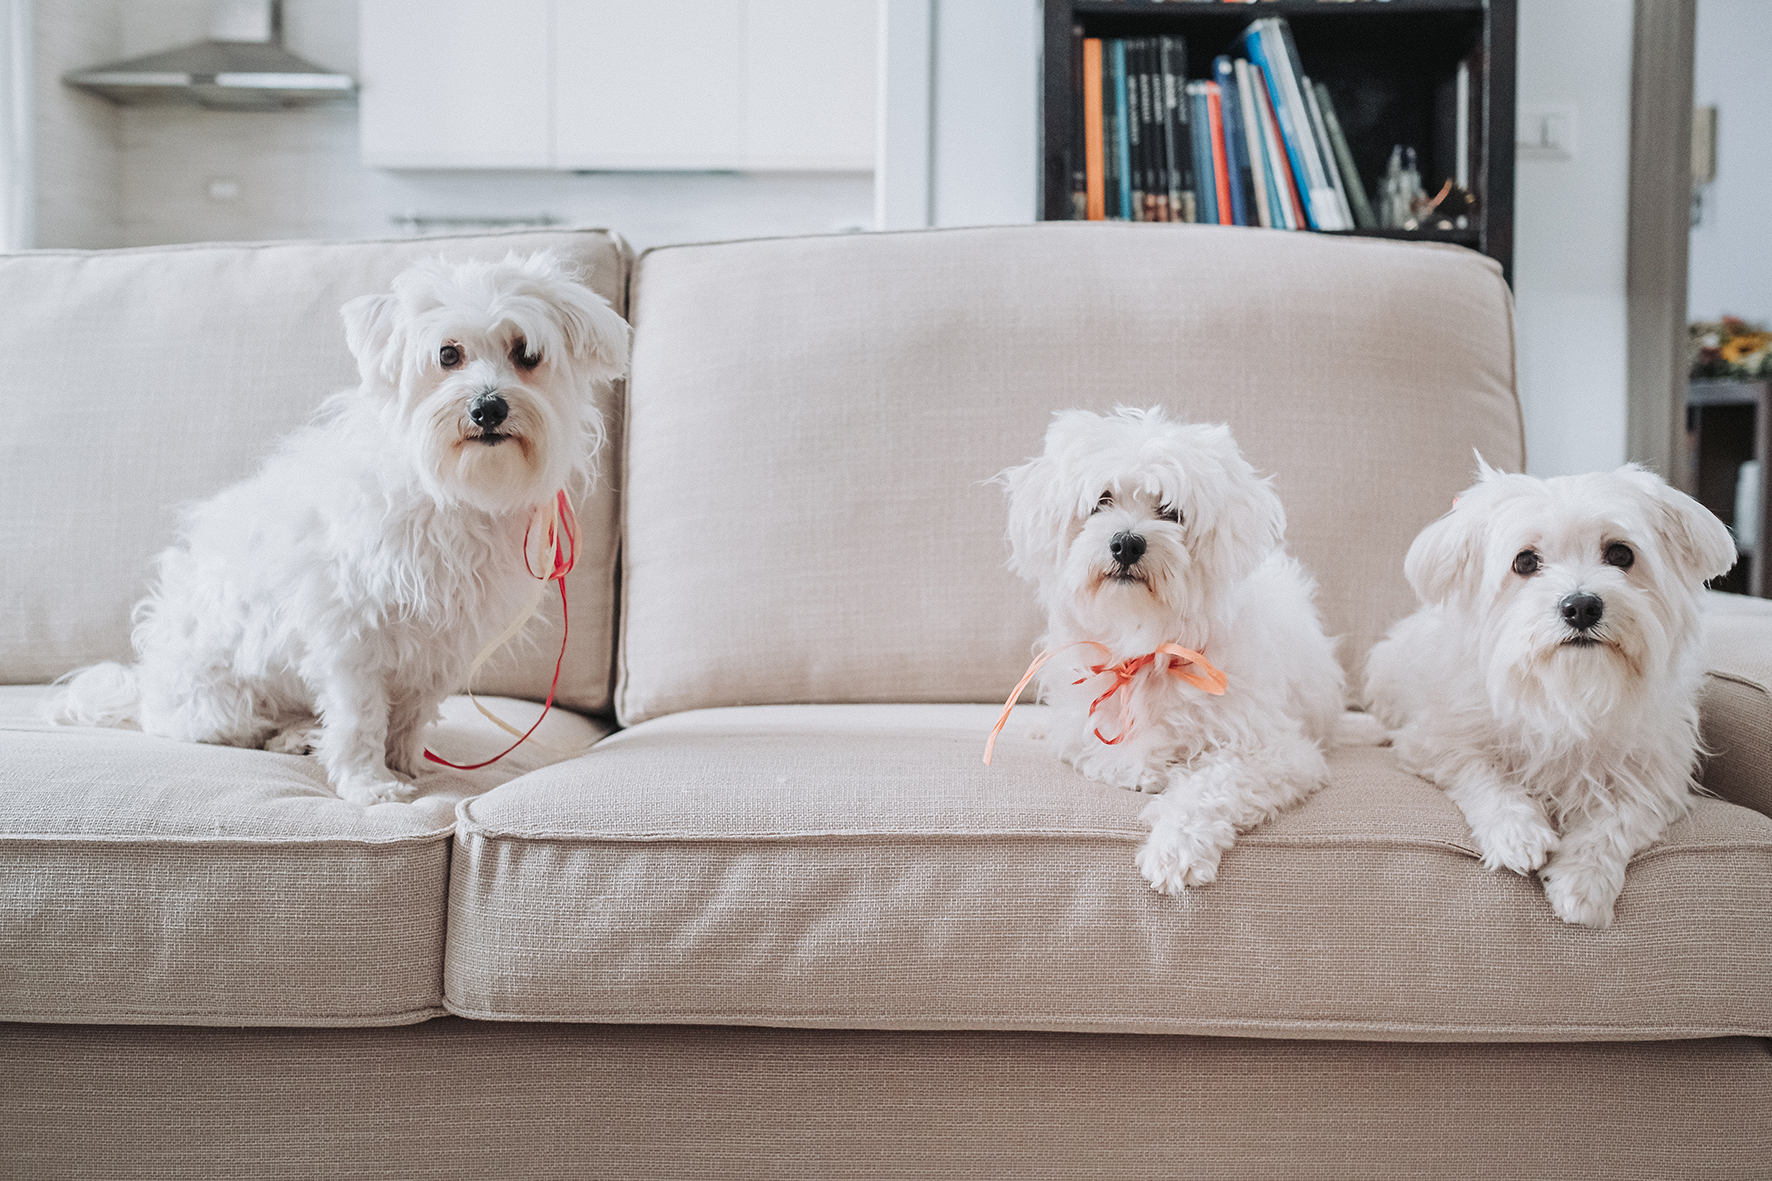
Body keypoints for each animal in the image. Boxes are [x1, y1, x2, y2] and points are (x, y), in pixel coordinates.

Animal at [53, 248, 630, 801]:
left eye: (526, 353)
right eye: (448, 355)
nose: (488, 408)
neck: (447, 490)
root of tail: (143, 689)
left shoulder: (441, 644)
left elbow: (412, 714)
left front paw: (406, 764)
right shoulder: (351, 635)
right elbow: (360, 720)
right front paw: (369, 783)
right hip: (222, 699)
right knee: (237, 728)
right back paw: (293, 737)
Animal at [999, 407, 1339, 893]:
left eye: (1171, 511)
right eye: (1101, 500)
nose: (1126, 543)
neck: (1146, 640)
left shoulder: (1282, 753)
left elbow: (1211, 784)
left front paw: (1175, 849)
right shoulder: (1082, 730)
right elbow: (1104, 754)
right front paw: (1145, 769)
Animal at [1367, 453, 1729, 922]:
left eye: (1620, 553)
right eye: (1524, 562)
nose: (1582, 607)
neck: (1566, 688)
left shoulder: (1657, 773)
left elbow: (1618, 817)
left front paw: (1584, 881)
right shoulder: (1436, 740)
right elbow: (1484, 773)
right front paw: (1517, 833)